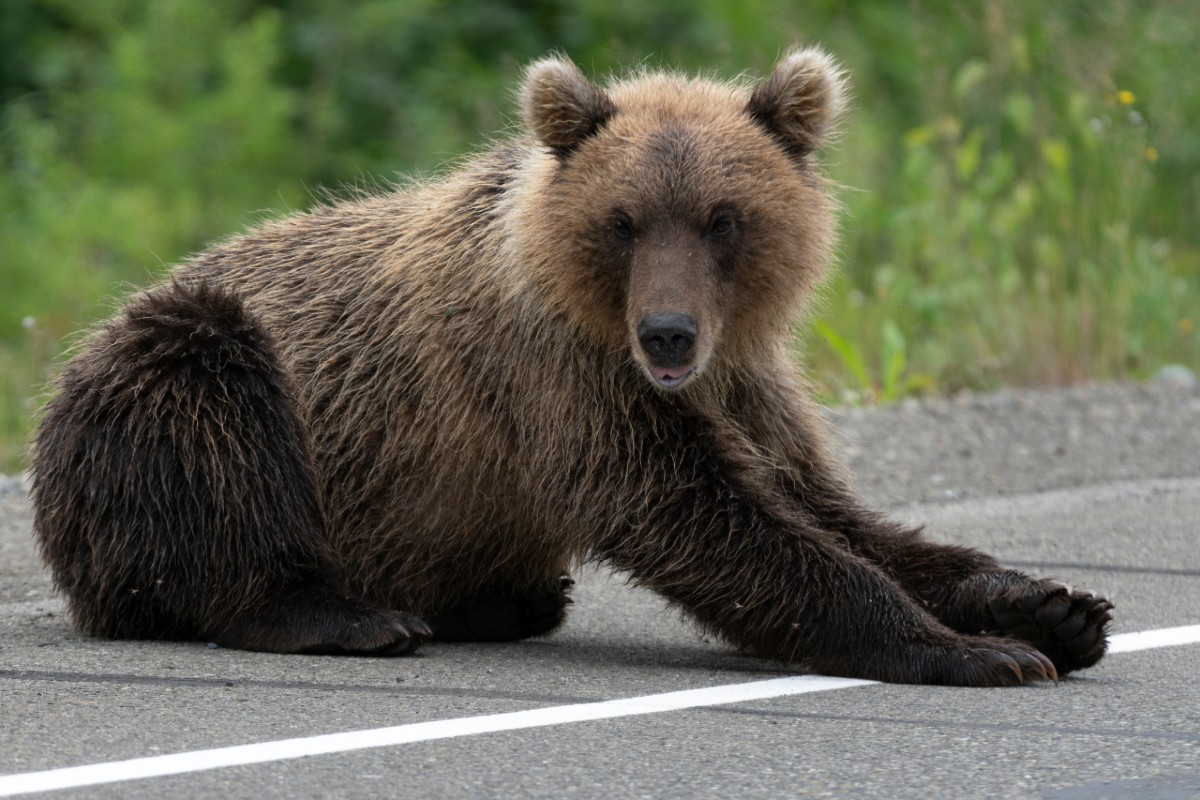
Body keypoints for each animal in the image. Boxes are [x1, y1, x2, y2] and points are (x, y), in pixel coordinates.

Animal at [30, 45, 1113, 681]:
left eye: (724, 218)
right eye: (623, 220)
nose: (668, 333)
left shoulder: (747, 383)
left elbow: (832, 506)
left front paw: (1051, 606)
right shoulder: (555, 379)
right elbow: (711, 517)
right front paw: (977, 650)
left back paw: (502, 597)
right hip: (181, 381)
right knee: (211, 422)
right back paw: (347, 615)